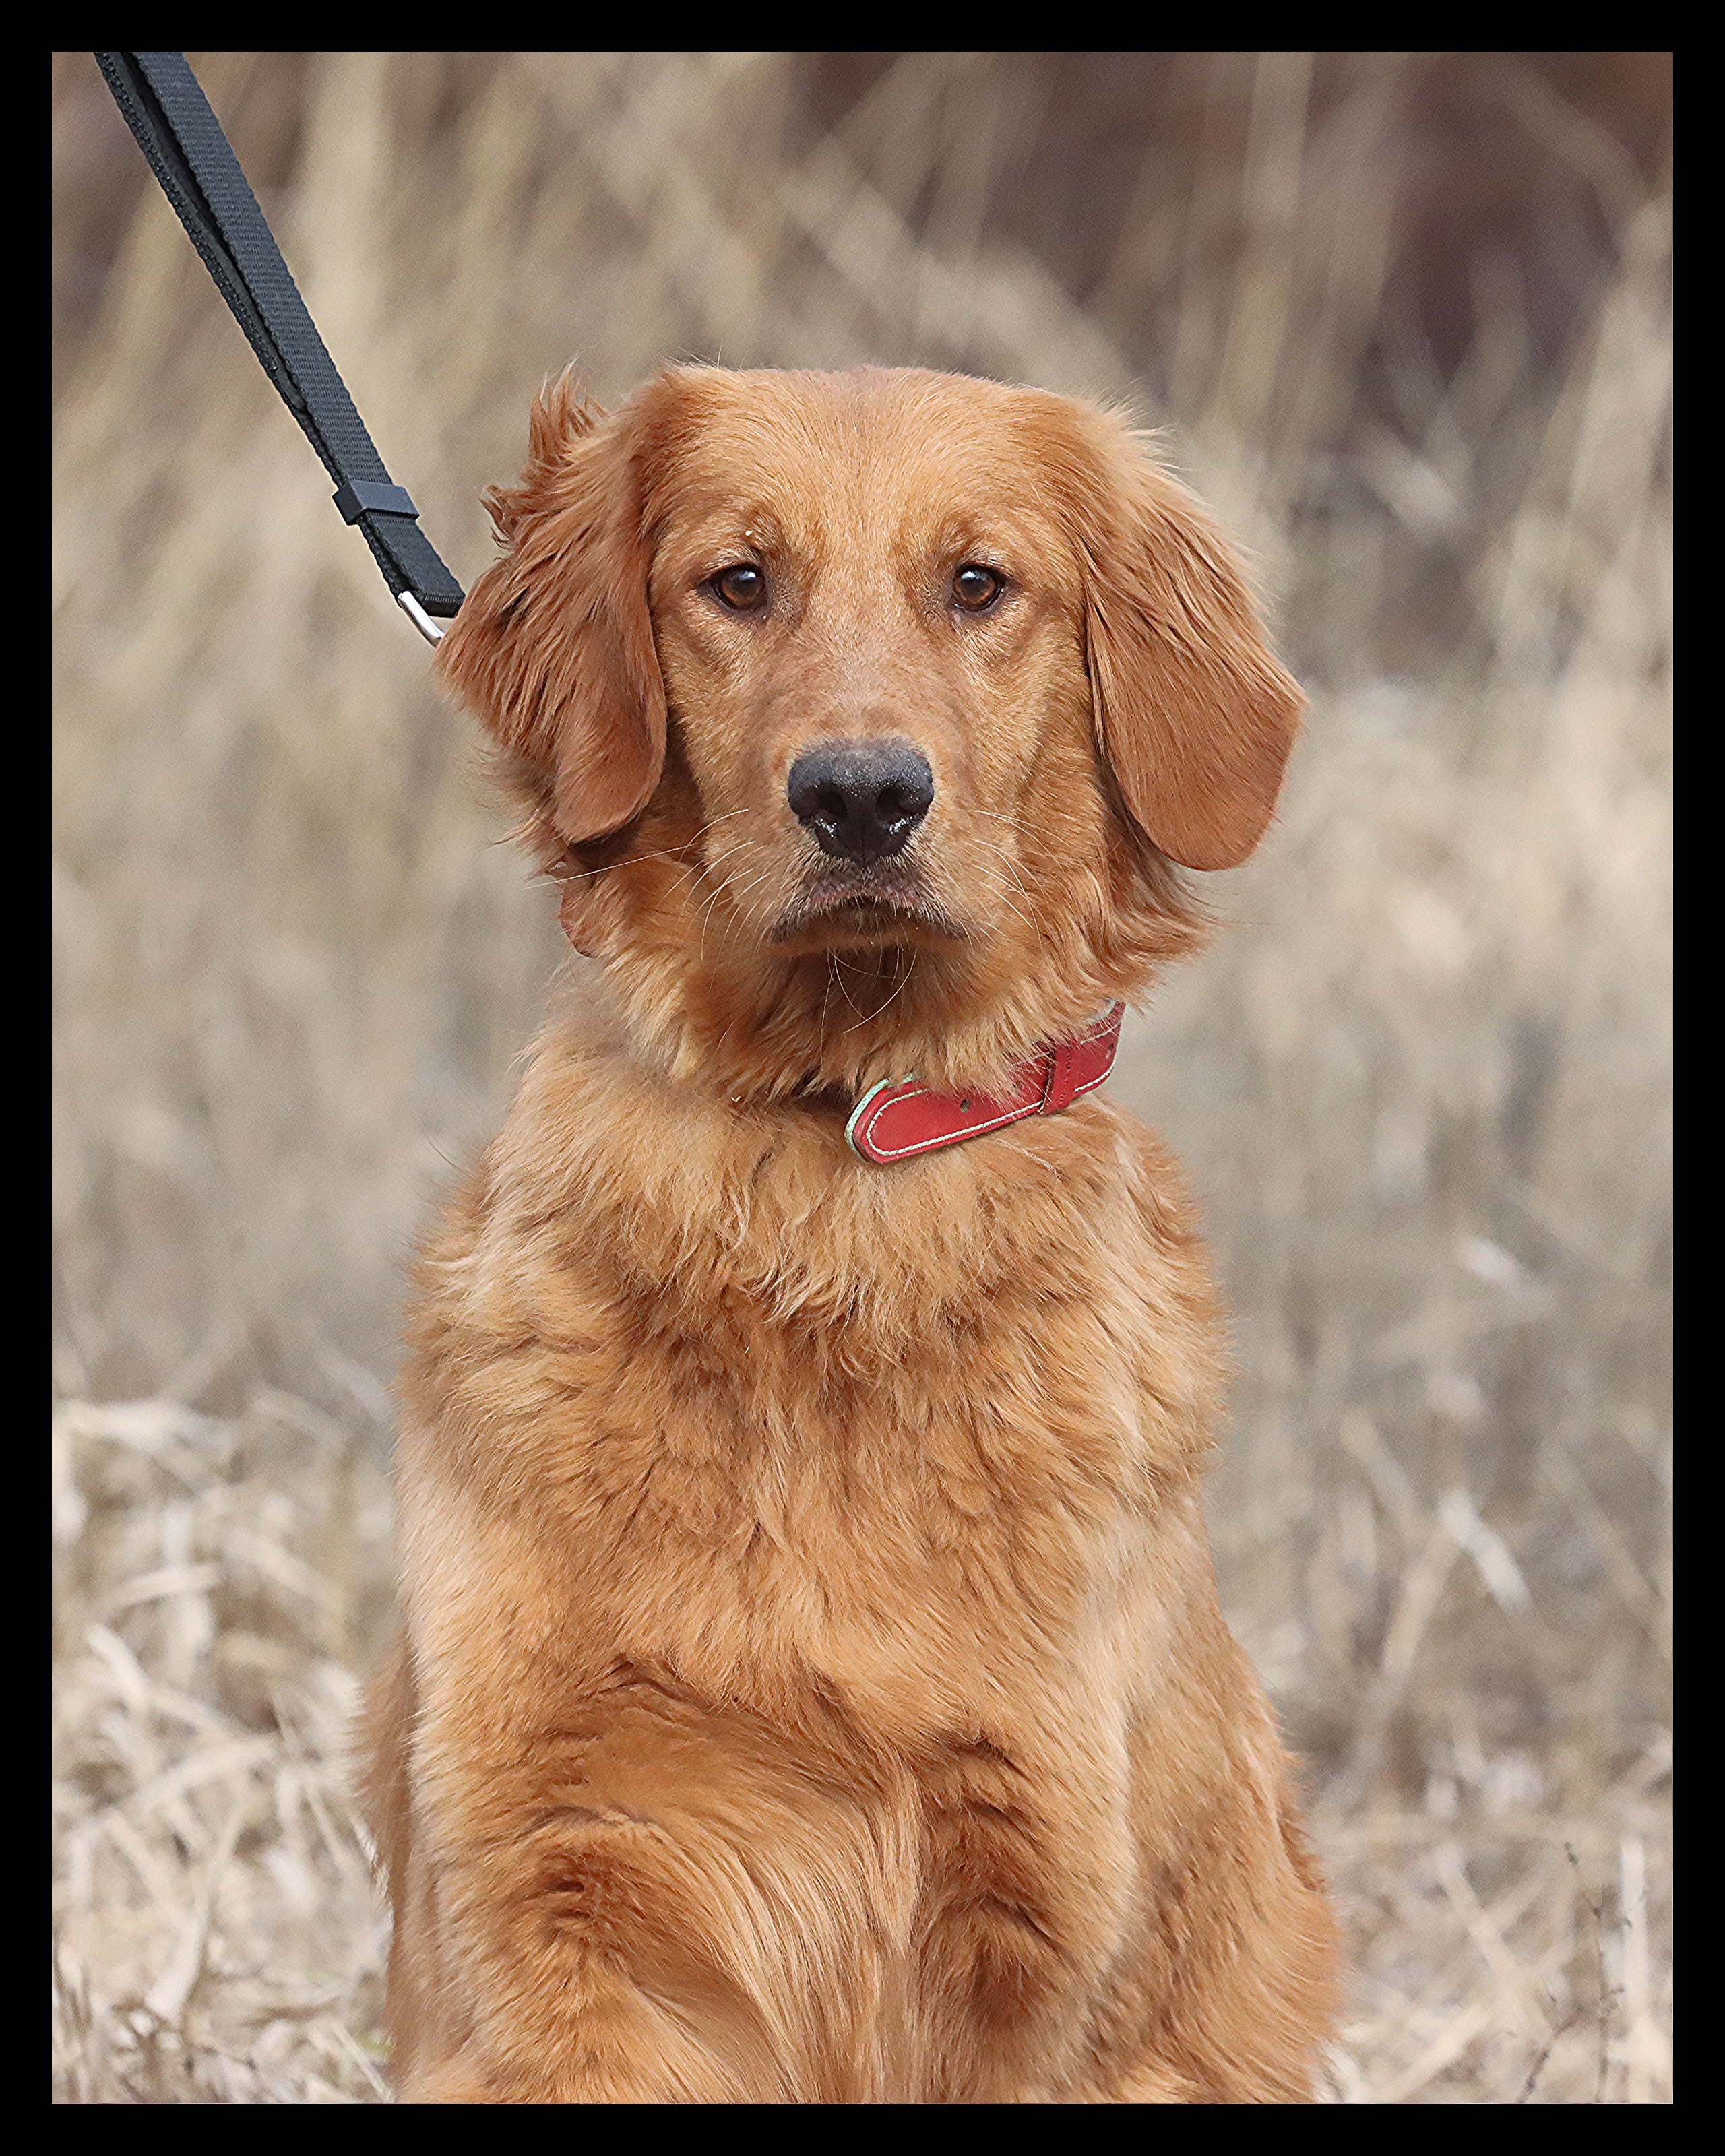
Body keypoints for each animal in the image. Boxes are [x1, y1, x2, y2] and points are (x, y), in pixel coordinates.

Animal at [360, 362, 1337, 2095]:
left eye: (979, 584)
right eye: (737, 581)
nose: (861, 794)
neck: (834, 1168)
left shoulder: (1036, 1919)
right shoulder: (544, 1896)